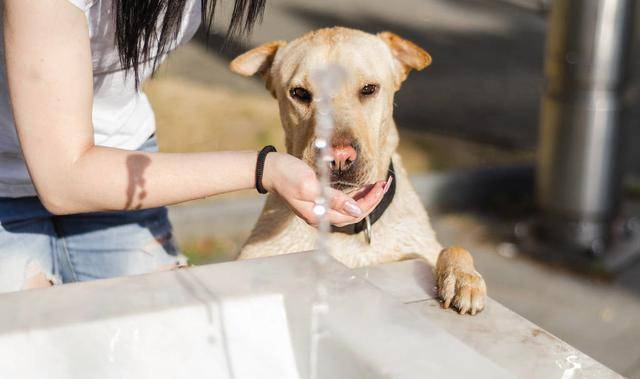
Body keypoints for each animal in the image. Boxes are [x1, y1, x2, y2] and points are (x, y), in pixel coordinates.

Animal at [230, 28, 484, 316]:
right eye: (299, 93)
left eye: (369, 89)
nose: (339, 157)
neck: (346, 232)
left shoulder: (422, 247)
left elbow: (453, 248)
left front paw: (463, 278)